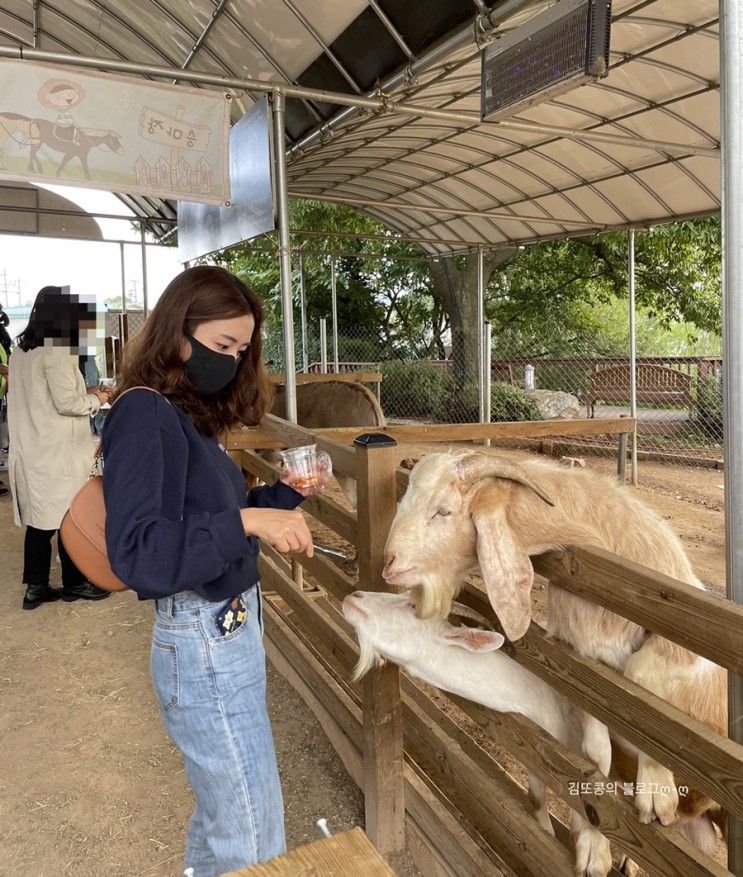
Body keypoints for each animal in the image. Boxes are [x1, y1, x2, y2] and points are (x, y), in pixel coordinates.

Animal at [384, 452, 728, 840]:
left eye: (443, 510)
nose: (388, 563)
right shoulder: (581, 663)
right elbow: (596, 755)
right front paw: (591, 842)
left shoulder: (685, 646)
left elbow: (642, 682)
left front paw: (656, 796)